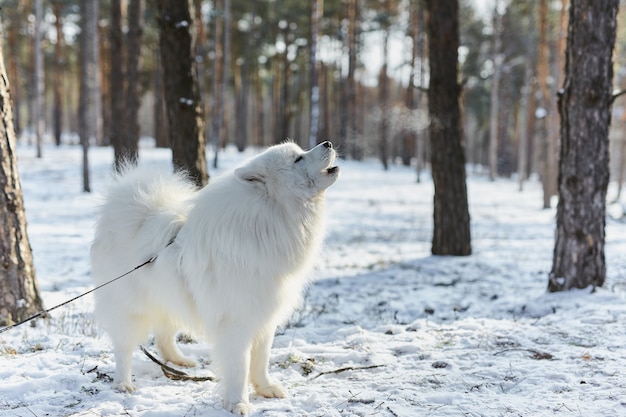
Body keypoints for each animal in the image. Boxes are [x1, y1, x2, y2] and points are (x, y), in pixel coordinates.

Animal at [90, 141, 338, 412]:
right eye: (297, 159)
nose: (328, 143)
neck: (270, 217)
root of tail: (134, 213)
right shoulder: (236, 322)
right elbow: (239, 367)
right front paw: (238, 403)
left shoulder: (264, 317)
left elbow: (261, 360)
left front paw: (266, 388)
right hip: (132, 310)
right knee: (123, 348)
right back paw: (124, 383)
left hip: (171, 299)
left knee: (164, 336)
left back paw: (180, 362)